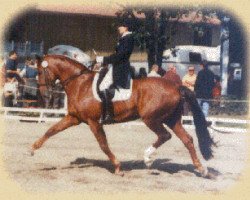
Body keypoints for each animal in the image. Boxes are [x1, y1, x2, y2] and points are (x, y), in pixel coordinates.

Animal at [31, 54, 215, 177]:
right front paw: (33, 148)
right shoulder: (74, 118)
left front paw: (118, 167)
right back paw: (202, 169)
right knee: (187, 140)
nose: (44, 95)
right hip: (172, 119)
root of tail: (176, 86)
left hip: (151, 119)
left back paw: (148, 159)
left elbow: (103, 145)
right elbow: (51, 130)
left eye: (40, 71)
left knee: (165, 135)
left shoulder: (93, 122)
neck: (80, 83)